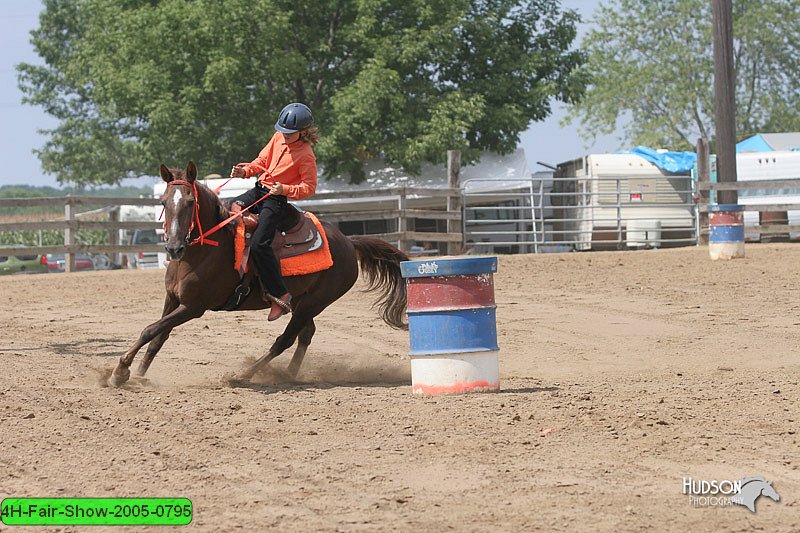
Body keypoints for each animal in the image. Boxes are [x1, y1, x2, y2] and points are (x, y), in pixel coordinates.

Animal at [109, 161, 410, 386]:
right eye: (163, 201)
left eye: (190, 201)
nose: (173, 247)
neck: (204, 252)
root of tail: (349, 241)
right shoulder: (172, 298)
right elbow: (158, 337)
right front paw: (139, 375)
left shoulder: (194, 307)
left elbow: (150, 329)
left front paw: (120, 372)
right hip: (302, 301)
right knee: (305, 334)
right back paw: (288, 375)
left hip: (316, 302)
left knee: (285, 340)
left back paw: (244, 375)